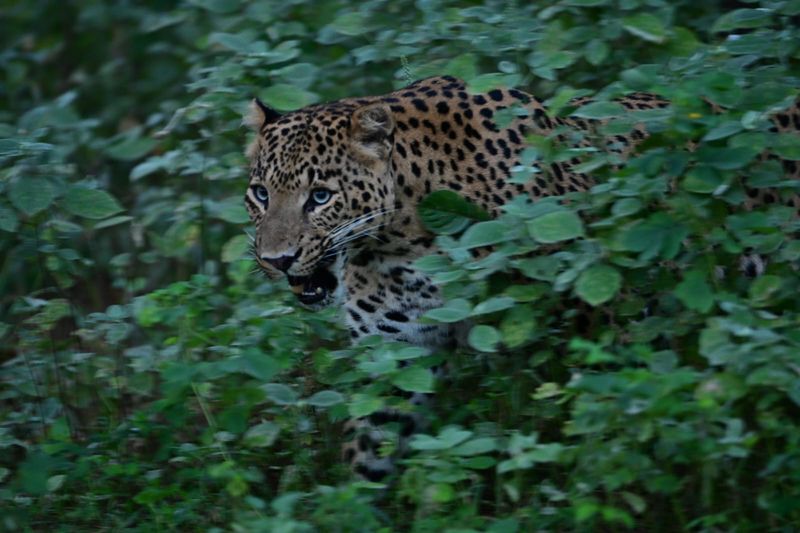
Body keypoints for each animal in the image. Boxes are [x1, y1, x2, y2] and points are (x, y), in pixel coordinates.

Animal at [244, 74, 800, 478]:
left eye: (320, 196)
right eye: (260, 194)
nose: (276, 259)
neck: (400, 241)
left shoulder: (595, 333)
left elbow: (597, 430)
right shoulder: (397, 355)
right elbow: (368, 456)